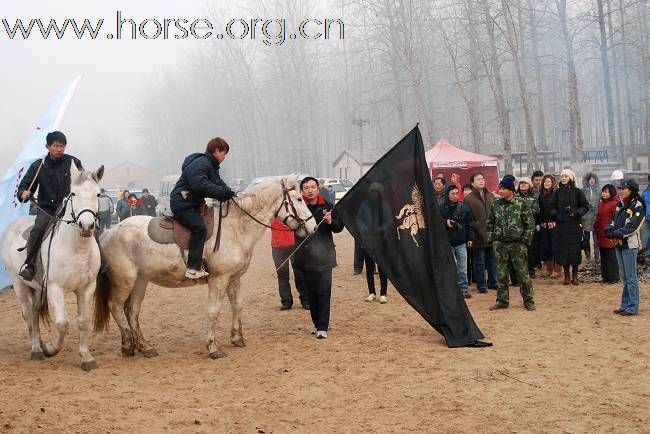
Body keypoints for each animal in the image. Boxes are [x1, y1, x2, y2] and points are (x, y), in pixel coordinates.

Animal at [0, 163, 102, 370]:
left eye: (98, 194)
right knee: (28, 314)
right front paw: (50, 348)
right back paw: (37, 349)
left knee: (35, 312)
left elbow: (83, 321)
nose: (86, 226)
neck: (77, 248)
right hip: (19, 284)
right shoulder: (55, 288)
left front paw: (86, 357)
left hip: (38, 289)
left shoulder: (87, 288)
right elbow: (62, 323)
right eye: (74, 193)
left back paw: (38, 343)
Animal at [94, 175, 316, 358]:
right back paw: (127, 345)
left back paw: (145, 347)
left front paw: (237, 338)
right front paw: (212, 347)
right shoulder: (219, 280)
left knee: (132, 311)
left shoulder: (234, 278)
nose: (313, 227)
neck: (235, 228)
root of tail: (109, 232)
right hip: (125, 281)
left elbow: (237, 305)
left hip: (141, 281)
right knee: (116, 307)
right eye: (298, 199)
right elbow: (213, 311)